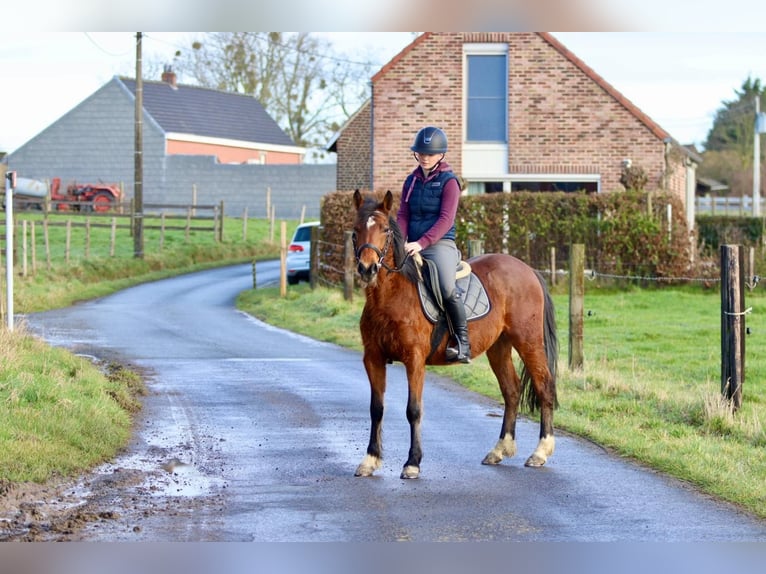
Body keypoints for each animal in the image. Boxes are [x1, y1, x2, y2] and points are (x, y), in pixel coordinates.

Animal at [351, 189, 559, 479]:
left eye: (384, 229)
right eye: (356, 230)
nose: (367, 268)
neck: (390, 296)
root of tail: (528, 270)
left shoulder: (414, 360)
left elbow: (413, 410)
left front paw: (412, 463)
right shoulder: (373, 358)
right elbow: (376, 408)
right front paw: (370, 460)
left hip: (528, 341)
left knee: (544, 387)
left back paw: (540, 452)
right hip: (499, 346)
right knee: (511, 390)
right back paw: (500, 449)